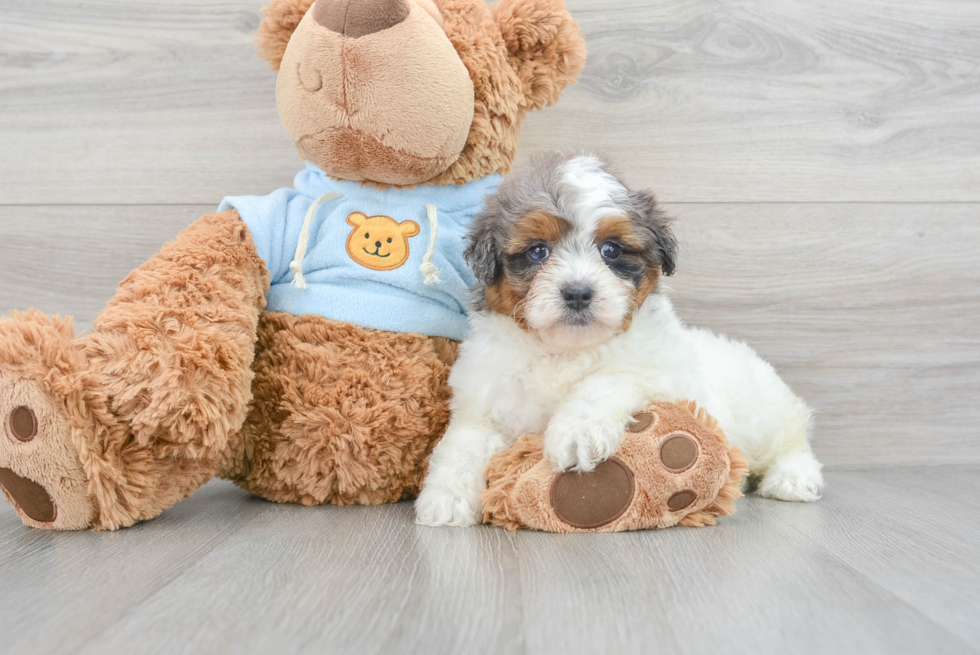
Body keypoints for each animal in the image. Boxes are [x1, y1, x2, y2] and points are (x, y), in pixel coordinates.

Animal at [416, 154, 828, 528]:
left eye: (611, 250)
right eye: (537, 251)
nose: (578, 293)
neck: (565, 349)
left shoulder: (666, 378)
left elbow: (608, 380)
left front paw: (575, 433)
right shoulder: (481, 403)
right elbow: (462, 444)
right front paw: (445, 499)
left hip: (765, 413)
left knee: (793, 439)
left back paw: (794, 477)